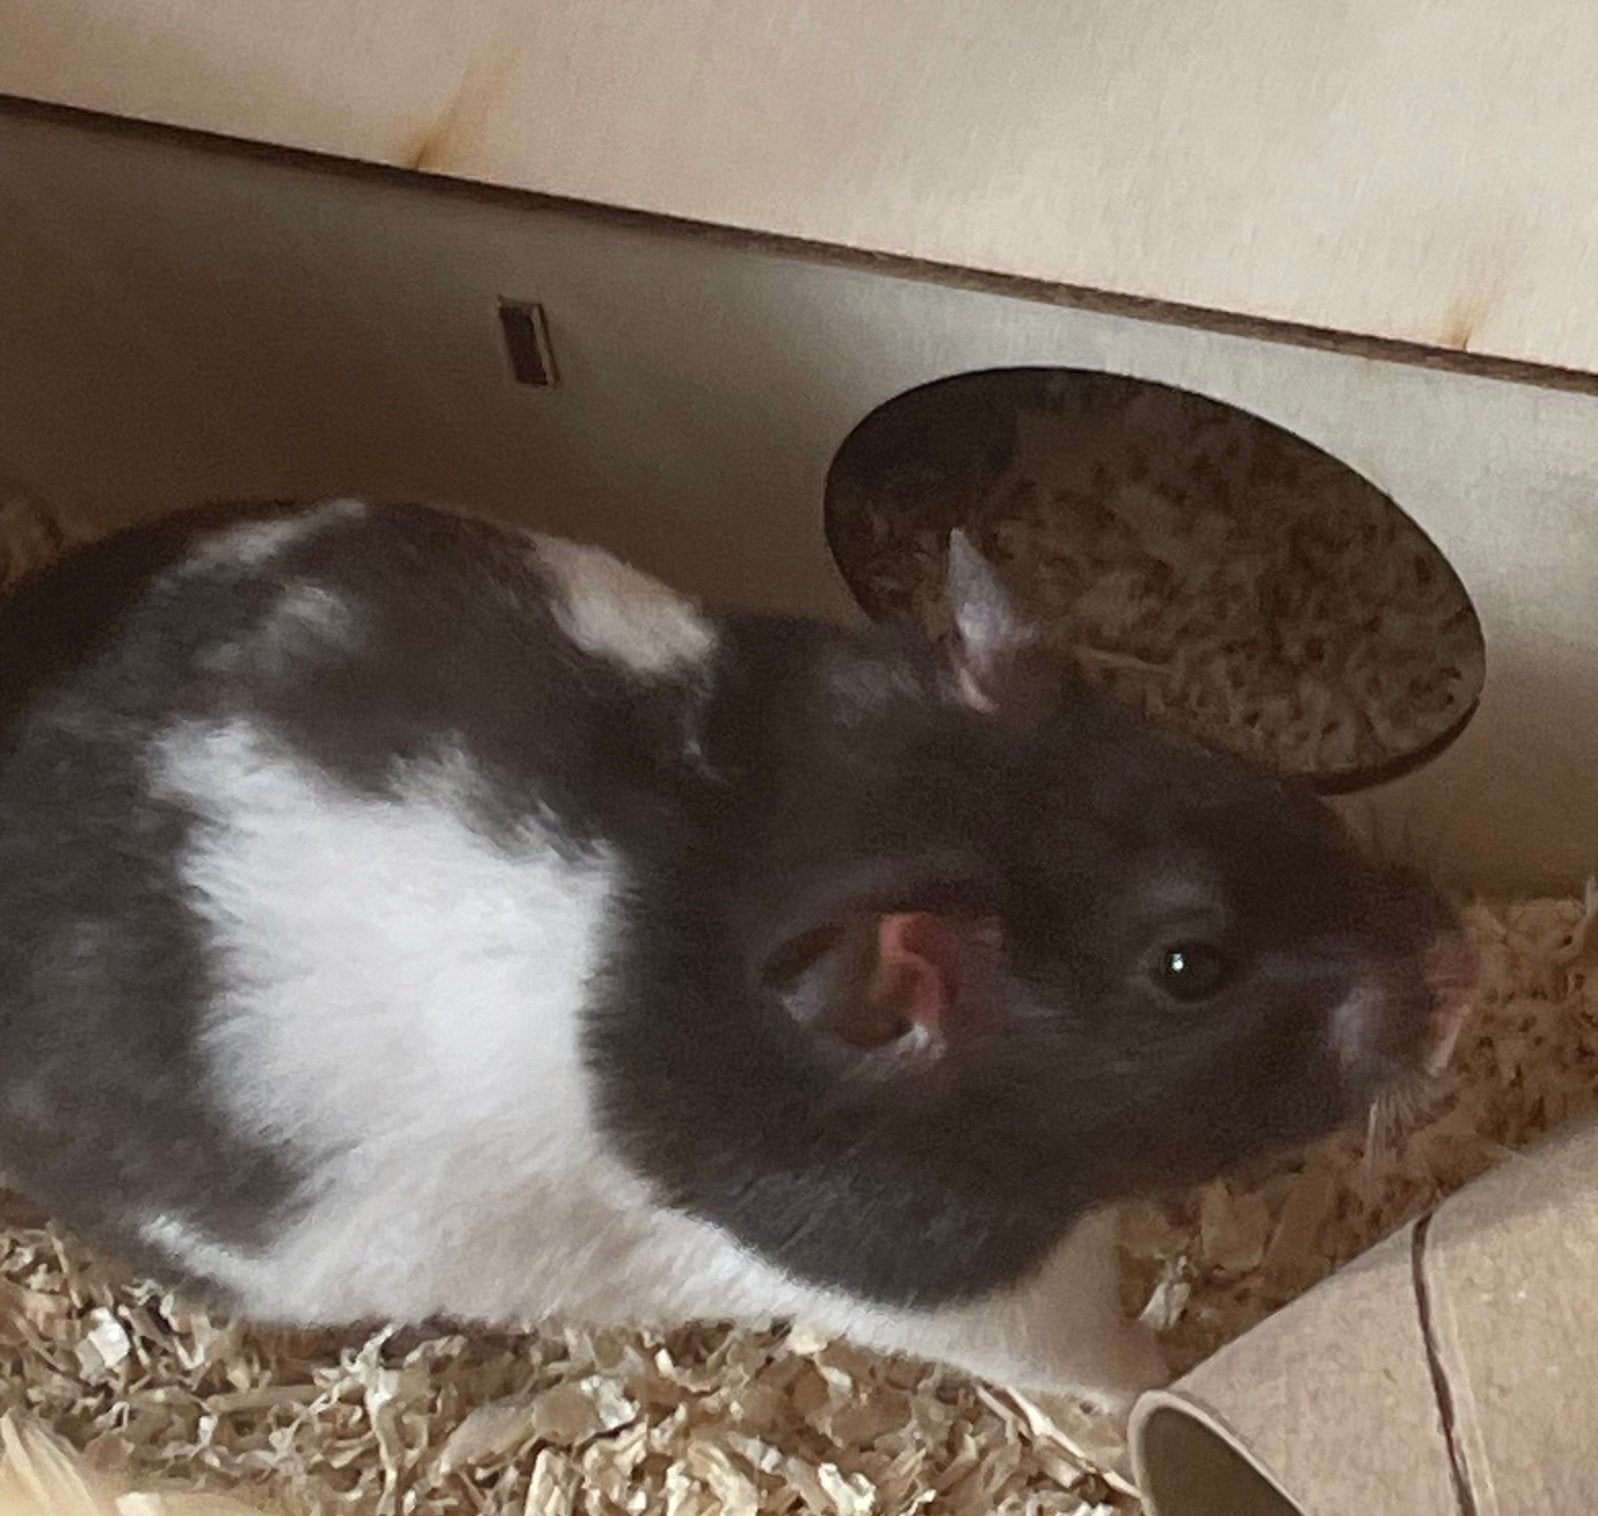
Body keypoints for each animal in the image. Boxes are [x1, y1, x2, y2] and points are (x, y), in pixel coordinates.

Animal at [0, 496, 1475, 1416]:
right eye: (1187, 969)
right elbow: (1090, 1352)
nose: (1462, 964)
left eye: (1239, 775)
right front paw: (1168, 1386)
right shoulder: (942, 1278)